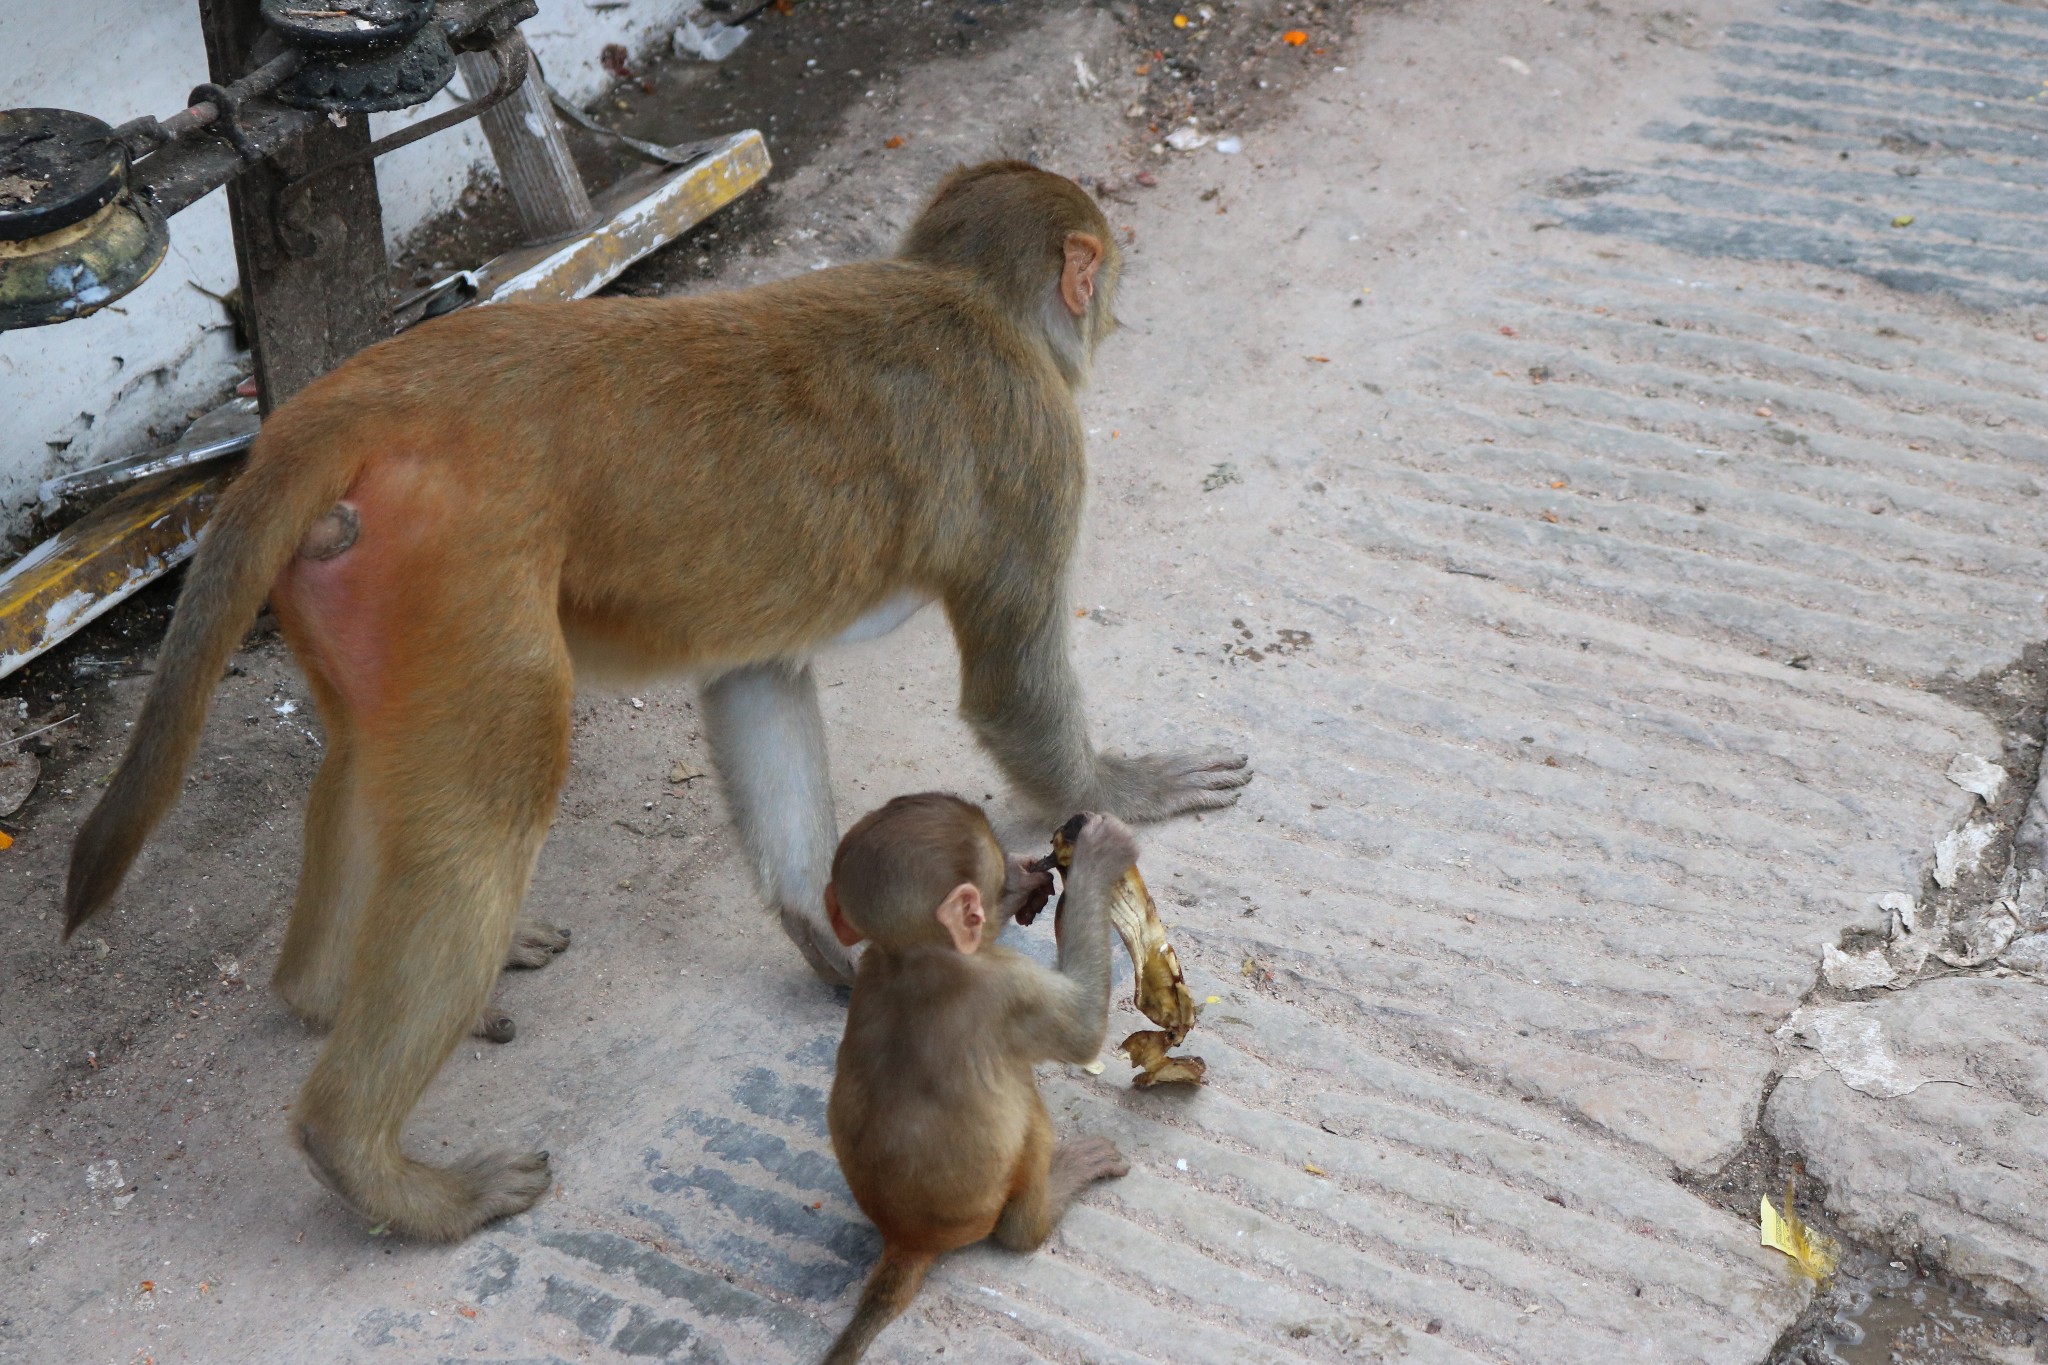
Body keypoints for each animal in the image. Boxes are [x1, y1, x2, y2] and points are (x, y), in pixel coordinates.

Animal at [56, 162, 1245, 1252]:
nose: (1112, 314)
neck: (970, 297)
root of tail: (368, 393)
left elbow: (756, 679)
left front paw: (835, 939)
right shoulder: (1033, 446)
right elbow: (1007, 683)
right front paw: (1123, 791)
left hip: (354, 577)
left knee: (361, 759)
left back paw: (315, 990)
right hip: (466, 577)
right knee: (489, 810)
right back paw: (377, 1166)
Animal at [819, 794, 1138, 1358]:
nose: (1021, 864)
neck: (913, 956)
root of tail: (908, 1238)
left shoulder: (873, 963)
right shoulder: (1008, 985)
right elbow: (1082, 1031)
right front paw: (1098, 860)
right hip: (988, 1205)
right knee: (1028, 1121)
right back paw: (1047, 1202)